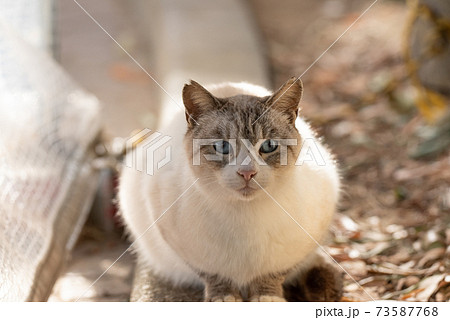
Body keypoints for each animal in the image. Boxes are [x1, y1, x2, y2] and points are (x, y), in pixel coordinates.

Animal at [118, 78, 342, 302]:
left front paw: (267, 297)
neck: (246, 218)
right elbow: (215, 276)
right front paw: (223, 298)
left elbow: (272, 274)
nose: (247, 173)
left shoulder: (296, 249)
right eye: (222, 147)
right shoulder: (184, 246)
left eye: (269, 146)